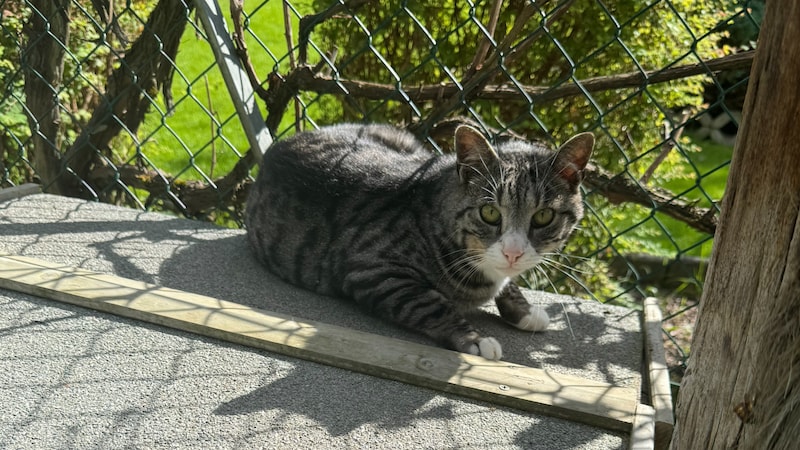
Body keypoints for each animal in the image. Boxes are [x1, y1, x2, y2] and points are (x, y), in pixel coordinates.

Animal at [245, 122, 592, 358]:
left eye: (544, 216)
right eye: (490, 212)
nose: (513, 253)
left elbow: (507, 283)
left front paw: (524, 311)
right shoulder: (373, 269)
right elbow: (430, 304)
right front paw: (476, 340)